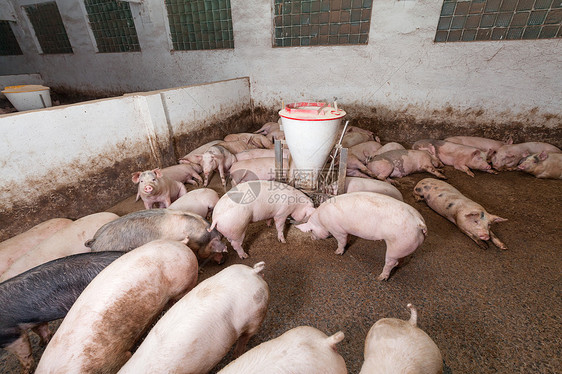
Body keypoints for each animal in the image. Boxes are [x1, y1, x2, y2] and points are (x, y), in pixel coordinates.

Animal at [294, 193, 424, 280]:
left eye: (311, 230)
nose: (312, 238)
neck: (322, 221)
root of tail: (419, 222)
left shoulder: (337, 230)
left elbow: (341, 241)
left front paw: (337, 252)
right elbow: (348, 238)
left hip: (397, 245)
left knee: (391, 263)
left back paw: (380, 278)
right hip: (404, 245)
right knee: (401, 260)